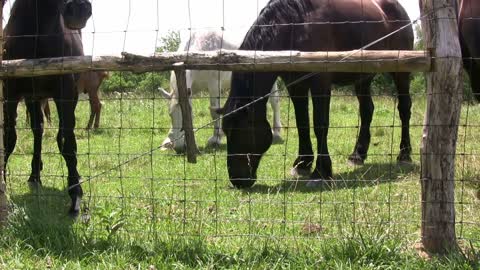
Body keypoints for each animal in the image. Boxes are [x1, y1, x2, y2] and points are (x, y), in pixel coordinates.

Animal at [4, 0, 93, 216]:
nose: (79, 10)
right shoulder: (10, 92)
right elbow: (9, 139)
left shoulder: (65, 92)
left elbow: (68, 143)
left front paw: (76, 195)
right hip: (32, 98)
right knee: (38, 130)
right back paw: (35, 174)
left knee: (58, 135)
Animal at [219, 0, 414, 188]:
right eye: (226, 131)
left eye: (239, 131)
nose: (238, 180)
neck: (296, 24)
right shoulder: (295, 85)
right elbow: (302, 123)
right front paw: (302, 164)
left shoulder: (320, 82)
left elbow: (320, 124)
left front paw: (321, 172)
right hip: (362, 78)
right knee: (367, 110)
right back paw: (358, 155)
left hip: (400, 72)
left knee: (404, 109)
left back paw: (404, 155)